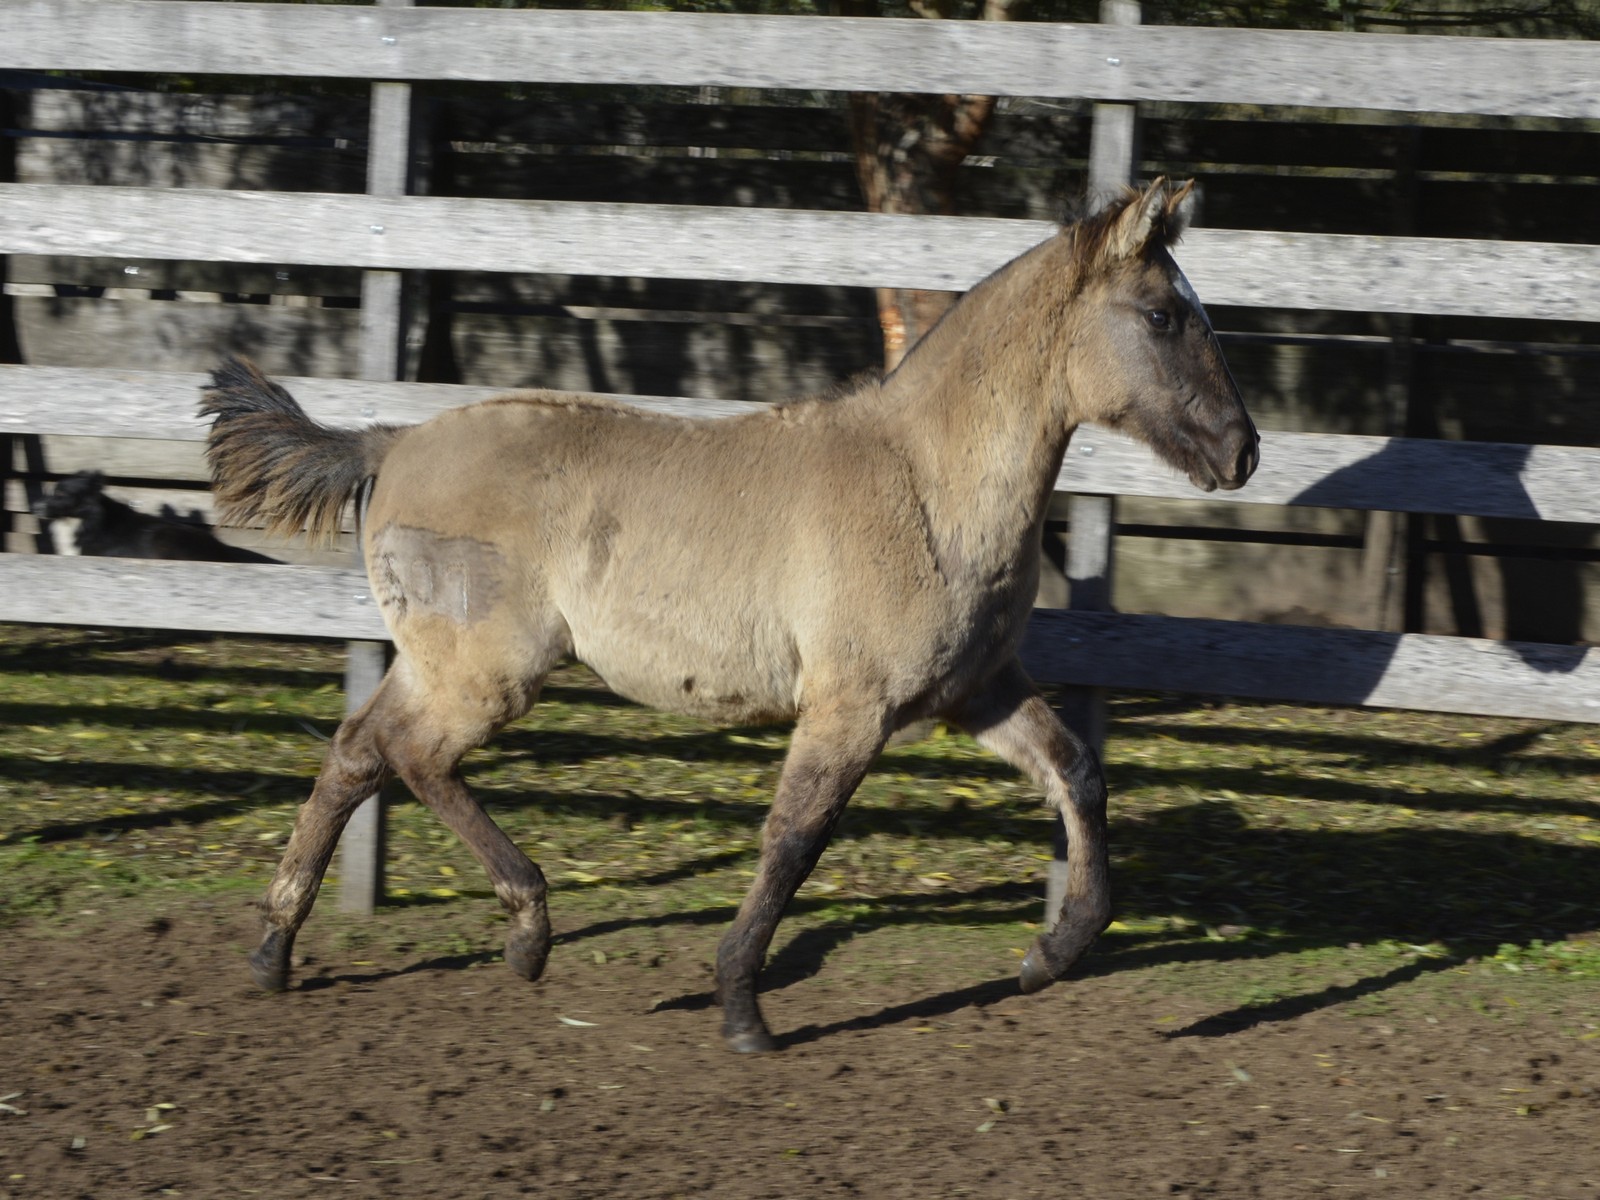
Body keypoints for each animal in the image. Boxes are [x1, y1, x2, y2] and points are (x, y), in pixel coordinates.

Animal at [200, 176, 1254, 1049]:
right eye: (1162, 315)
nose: (1241, 451)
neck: (926, 484)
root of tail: (388, 443)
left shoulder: (975, 690)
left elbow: (1078, 774)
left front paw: (1052, 954)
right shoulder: (851, 706)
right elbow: (794, 839)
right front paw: (743, 1006)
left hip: (440, 665)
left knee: (356, 752)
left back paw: (276, 953)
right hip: (484, 675)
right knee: (409, 756)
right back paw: (527, 930)